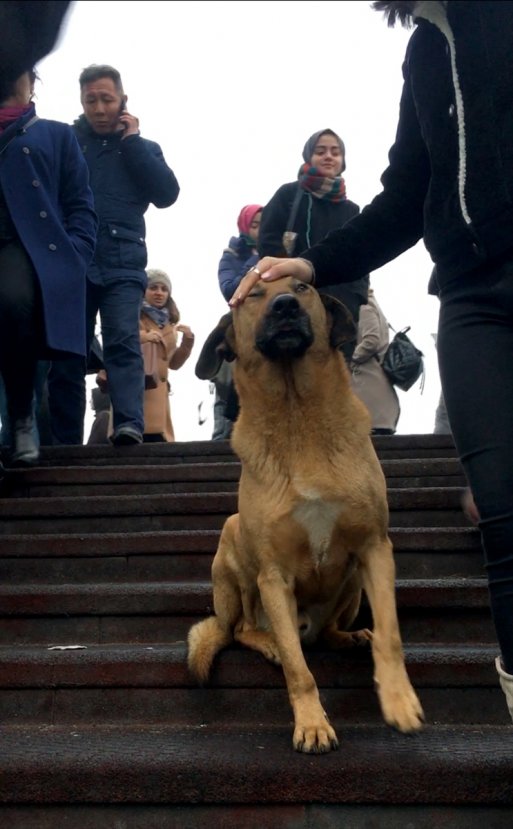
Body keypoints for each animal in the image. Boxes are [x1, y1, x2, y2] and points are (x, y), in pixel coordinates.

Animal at [186, 276, 422, 752]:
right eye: (252, 296)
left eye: (302, 287)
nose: (285, 306)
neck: (297, 417)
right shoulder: (274, 577)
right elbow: (300, 671)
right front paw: (312, 723)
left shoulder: (375, 549)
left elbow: (390, 636)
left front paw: (399, 700)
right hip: (234, 548)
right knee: (241, 629)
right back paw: (271, 642)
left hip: (352, 584)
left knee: (328, 632)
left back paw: (349, 636)